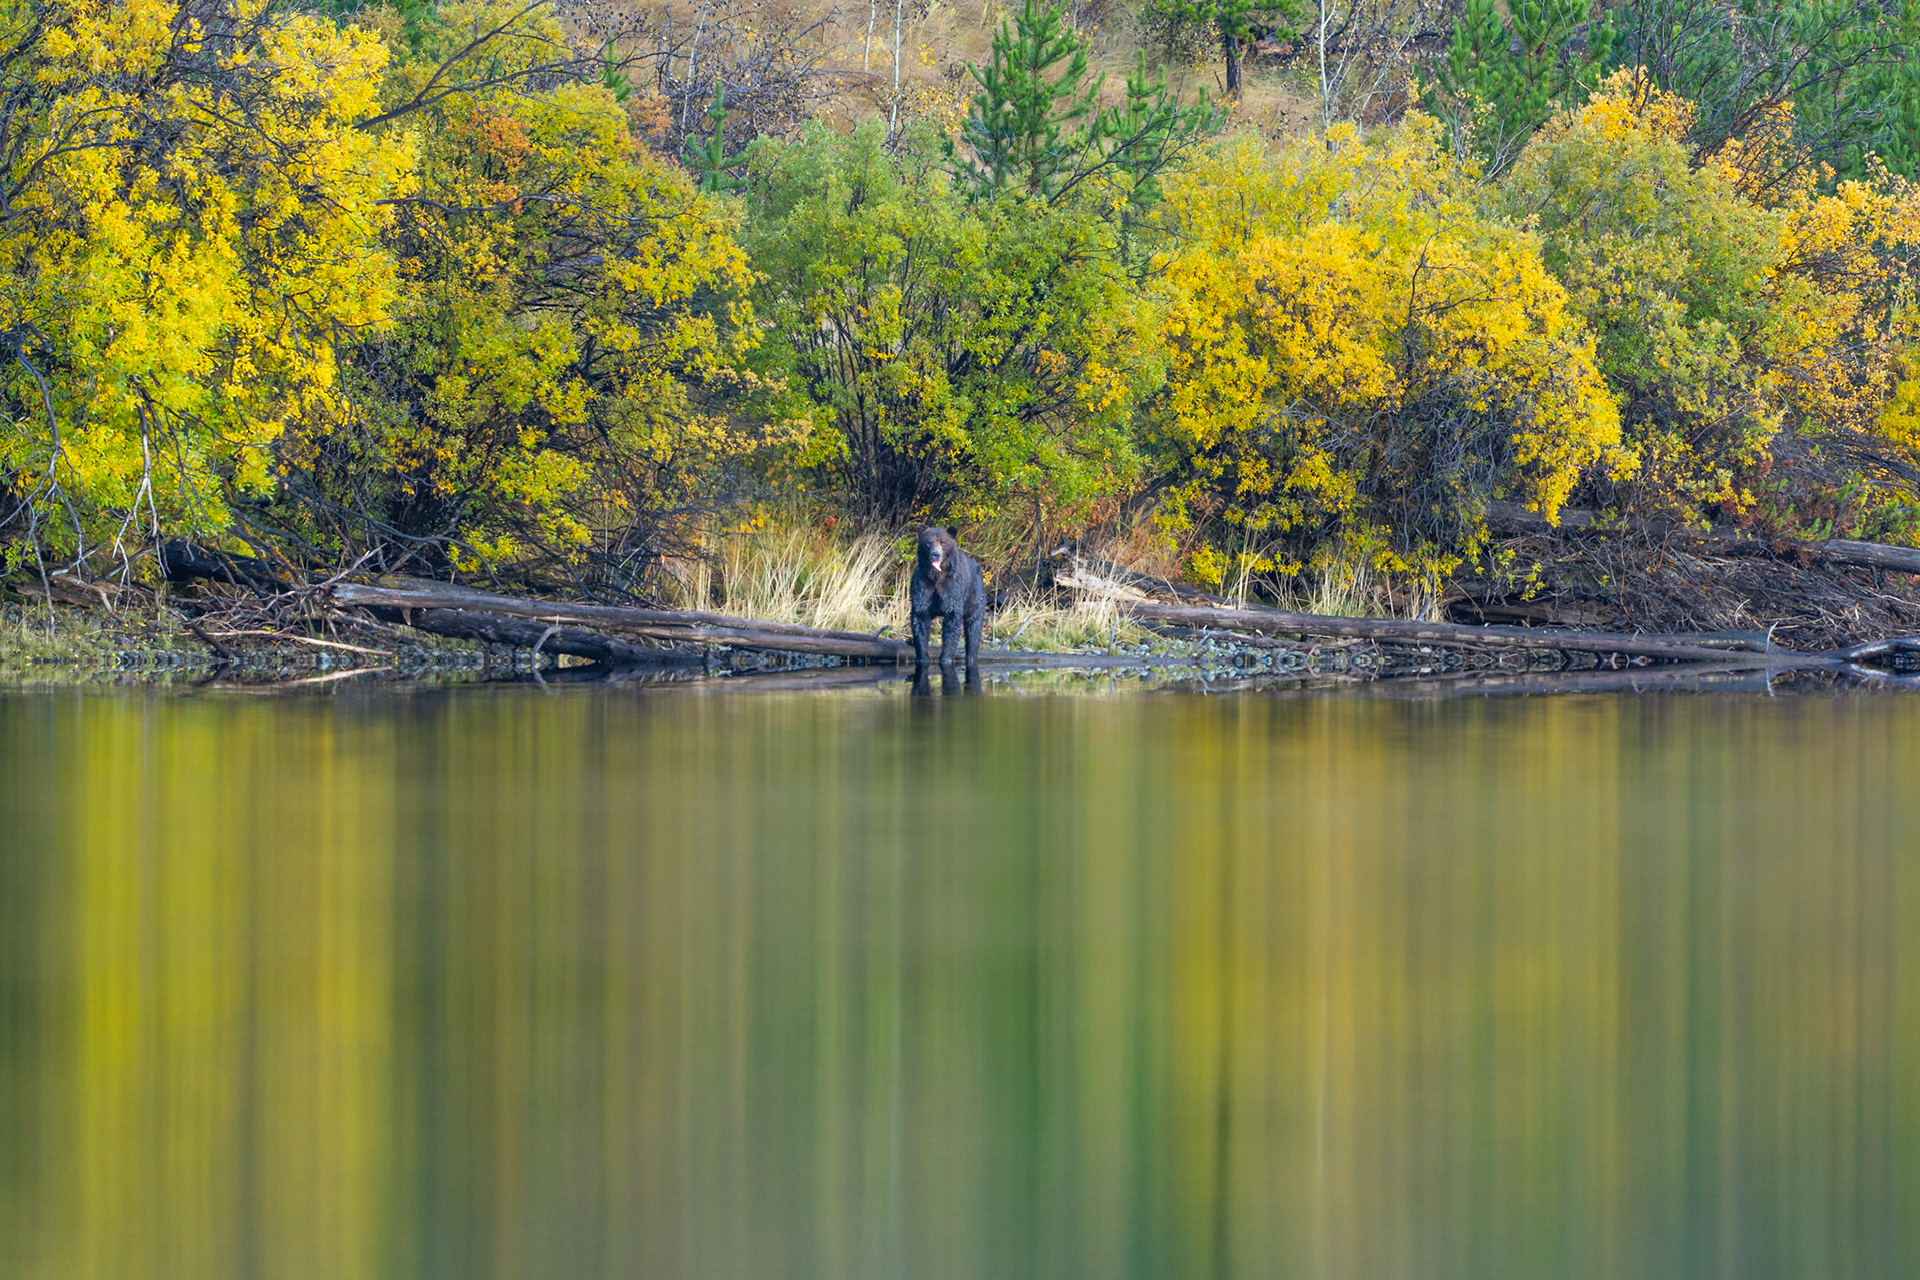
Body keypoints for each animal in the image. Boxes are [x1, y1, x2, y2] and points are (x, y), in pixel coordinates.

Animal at [909, 525, 986, 668]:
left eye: (943, 543)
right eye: (928, 543)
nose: (935, 554)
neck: (936, 576)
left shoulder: (952, 589)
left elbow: (952, 622)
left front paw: (945, 658)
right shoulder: (923, 586)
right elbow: (920, 621)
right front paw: (922, 656)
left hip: (974, 595)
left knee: (974, 626)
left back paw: (971, 657)